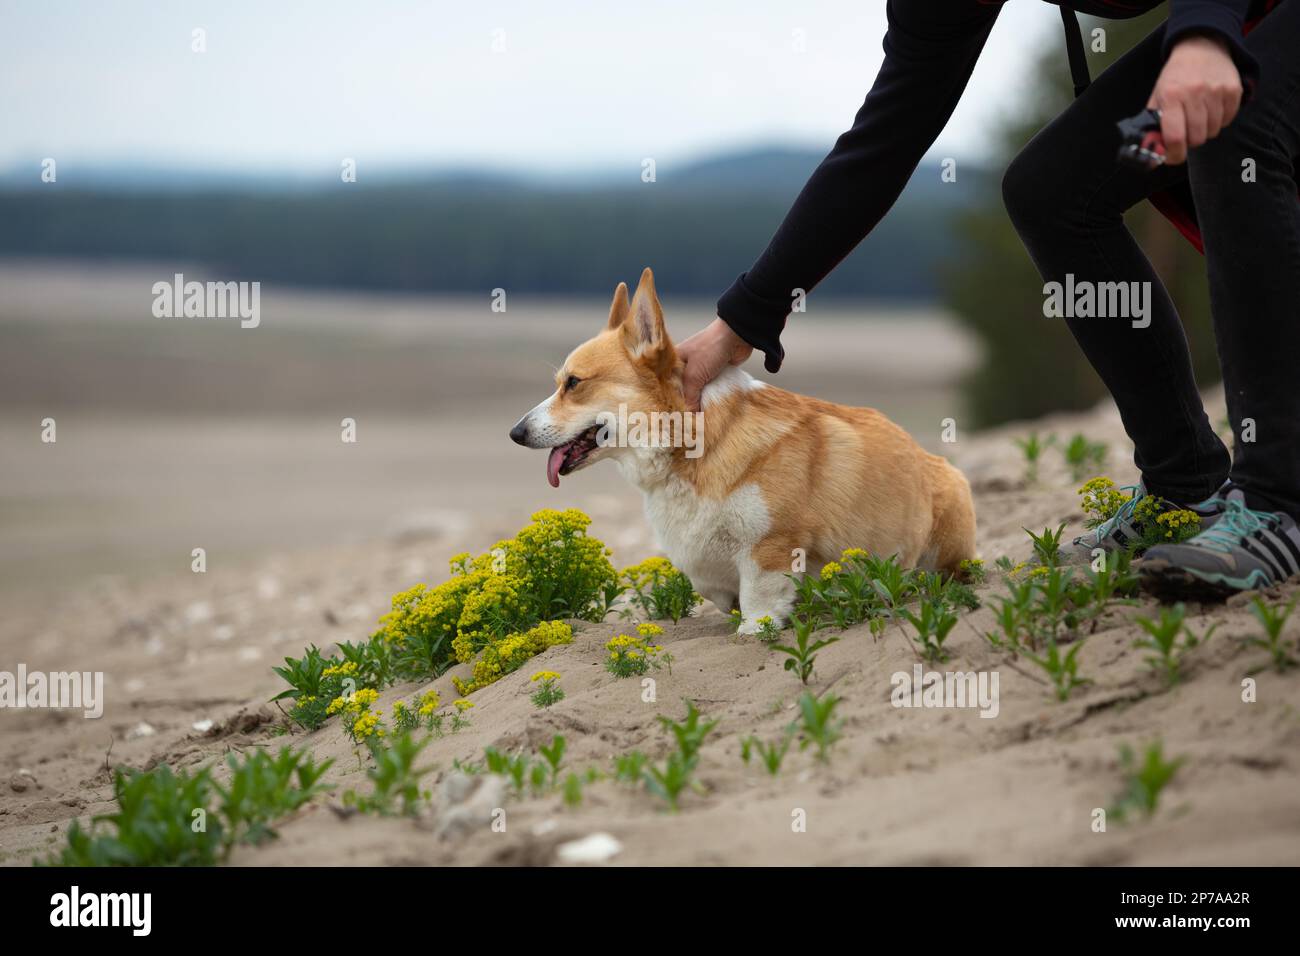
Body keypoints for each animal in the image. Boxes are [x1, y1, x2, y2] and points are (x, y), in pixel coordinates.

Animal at [506, 267, 977, 634]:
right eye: (560, 382)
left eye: (574, 383)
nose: (514, 433)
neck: (693, 443)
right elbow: (714, 585)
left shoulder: (770, 547)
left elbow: (758, 606)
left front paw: (757, 627)